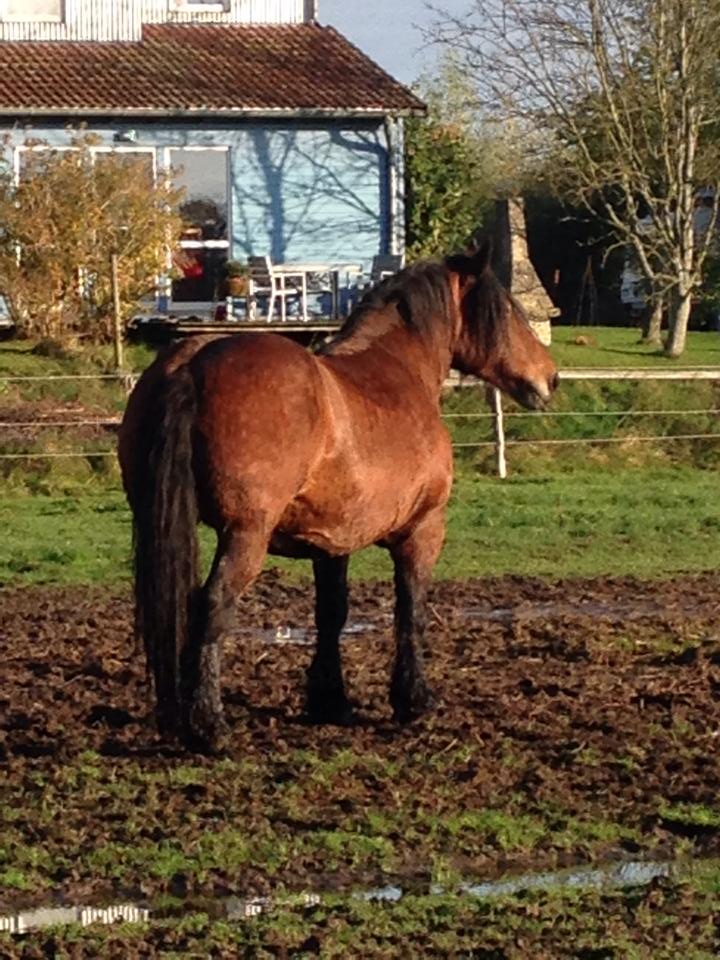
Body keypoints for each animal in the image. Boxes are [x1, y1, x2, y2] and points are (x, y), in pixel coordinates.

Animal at [118, 246, 560, 752]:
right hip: (245, 535)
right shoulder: (423, 530)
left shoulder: (330, 543)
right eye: (508, 309)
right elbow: (411, 609)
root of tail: (192, 363)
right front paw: (414, 699)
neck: (399, 369)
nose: (550, 378)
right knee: (211, 606)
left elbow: (331, 614)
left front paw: (331, 701)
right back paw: (210, 726)